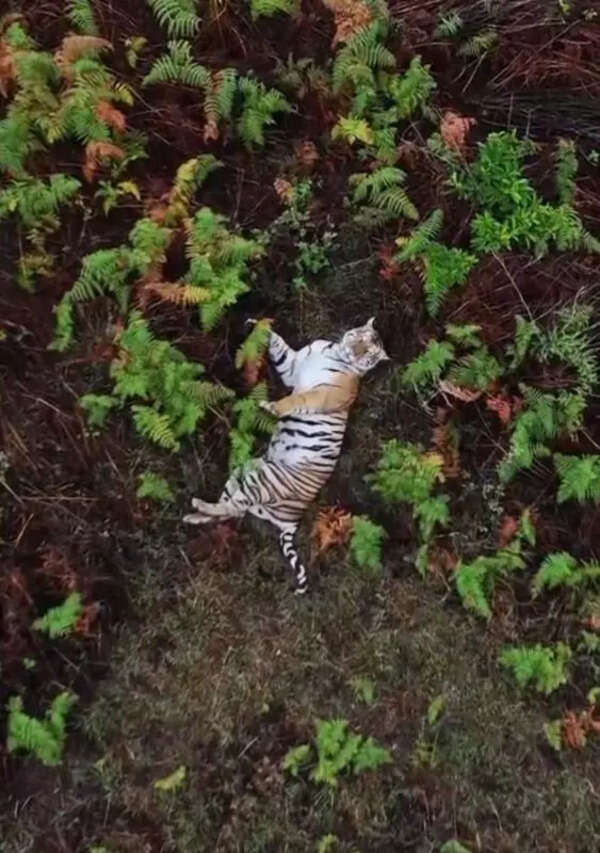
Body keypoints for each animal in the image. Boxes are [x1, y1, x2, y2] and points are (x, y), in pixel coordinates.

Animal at [183, 317, 389, 594]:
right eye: (361, 340)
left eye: (368, 353)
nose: (355, 351)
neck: (334, 353)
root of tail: (293, 520)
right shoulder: (293, 366)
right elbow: (278, 347)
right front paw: (259, 326)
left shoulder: (321, 394)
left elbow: (296, 400)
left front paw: (271, 407)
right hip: (245, 470)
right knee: (231, 509)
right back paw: (194, 516)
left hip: (264, 479)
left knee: (233, 508)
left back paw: (196, 506)